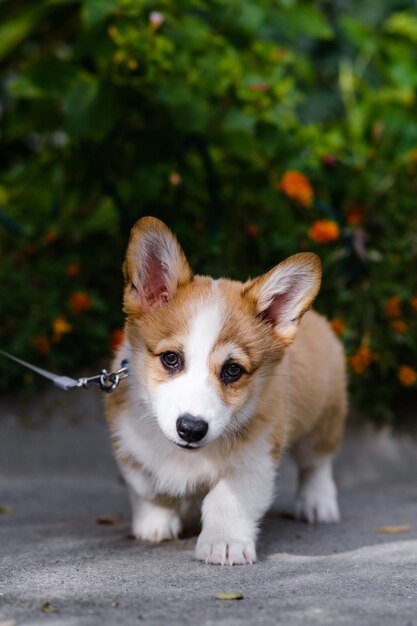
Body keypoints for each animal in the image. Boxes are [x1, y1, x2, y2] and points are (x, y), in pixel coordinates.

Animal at [105, 217, 346, 564]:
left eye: (233, 370)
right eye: (170, 358)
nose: (191, 429)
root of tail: (315, 317)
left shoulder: (255, 456)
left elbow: (226, 500)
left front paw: (224, 543)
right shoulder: (128, 442)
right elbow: (147, 486)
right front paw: (156, 522)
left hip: (323, 417)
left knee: (317, 462)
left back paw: (318, 502)